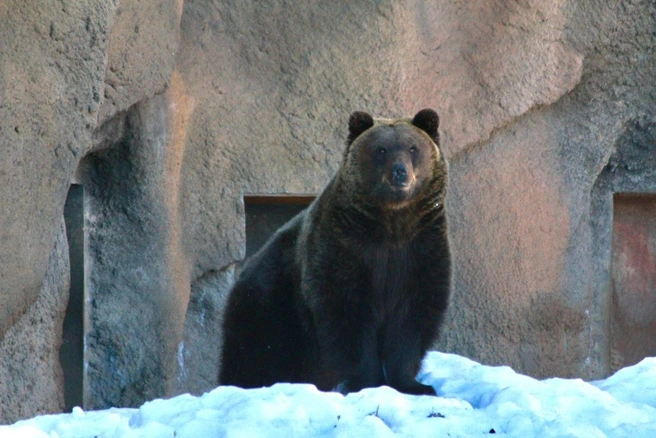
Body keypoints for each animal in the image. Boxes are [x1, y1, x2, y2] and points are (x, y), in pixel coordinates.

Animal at [220, 108, 452, 396]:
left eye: (413, 148)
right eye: (381, 149)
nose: (400, 173)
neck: (391, 223)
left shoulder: (421, 249)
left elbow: (412, 316)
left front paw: (415, 385)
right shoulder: (343, 246)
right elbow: (347, 313)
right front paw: (367, 381)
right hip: (270, 307)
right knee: (253, 354)